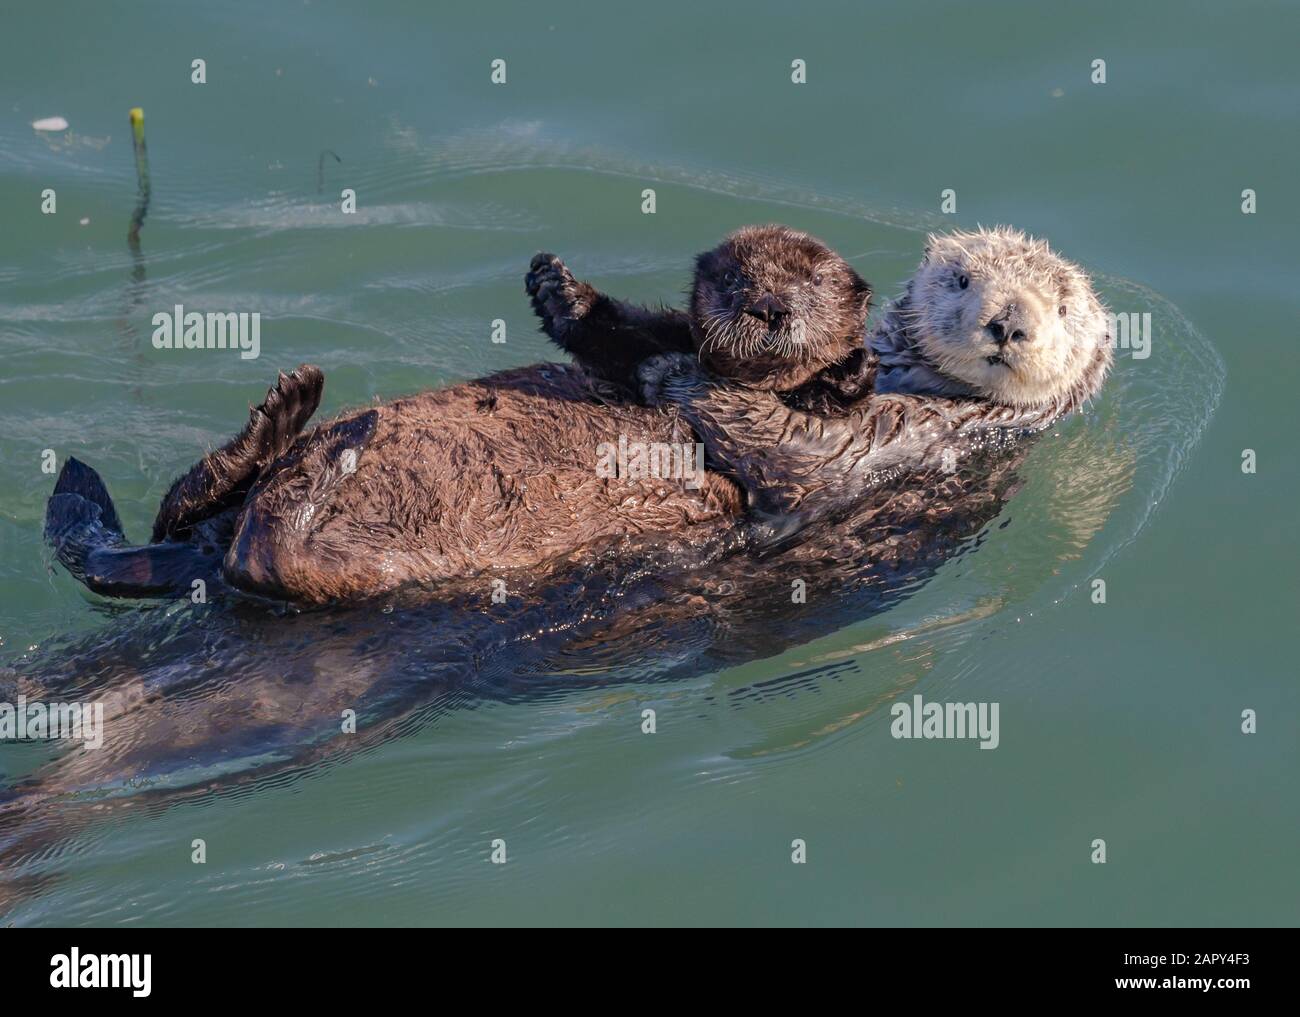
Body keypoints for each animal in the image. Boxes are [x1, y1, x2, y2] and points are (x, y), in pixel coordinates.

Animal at [45, 226, 872, 604]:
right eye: (734, 278)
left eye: (811, 278)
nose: (769, 306)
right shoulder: (654, 339)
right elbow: (610, 336)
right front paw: (556, 286)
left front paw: (845, 373)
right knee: (191, 513)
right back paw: (303, 416)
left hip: (347, 569)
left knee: (266, 553)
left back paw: (324, 435)